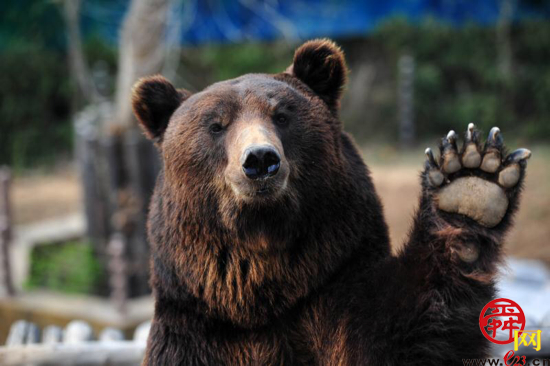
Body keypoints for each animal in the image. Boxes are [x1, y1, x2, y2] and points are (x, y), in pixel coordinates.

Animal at [132, 38, 532, 364]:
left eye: (281, 115)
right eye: (216, 125)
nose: (260, 160)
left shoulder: (336, 293)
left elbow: (412, 331)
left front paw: (471, 184)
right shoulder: (194, 333)